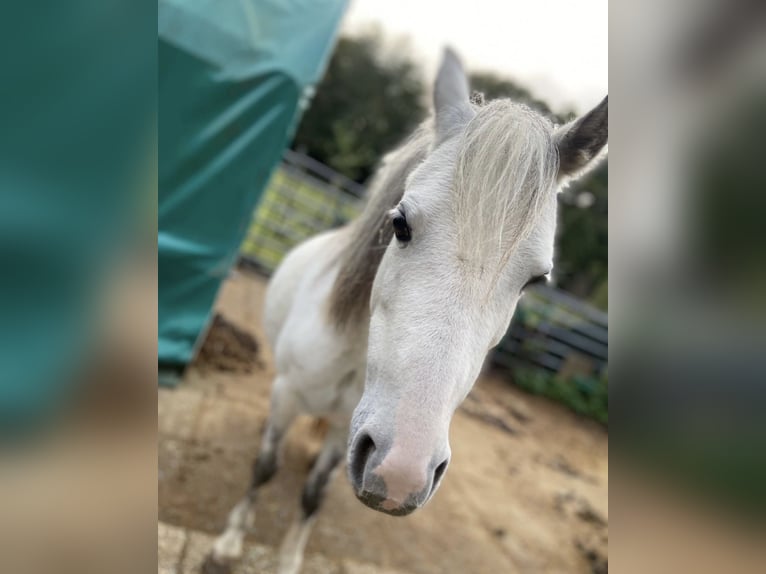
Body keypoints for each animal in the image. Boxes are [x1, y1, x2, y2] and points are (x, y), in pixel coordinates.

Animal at [202, 49, 608, 574]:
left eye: (535, 281)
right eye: (399, 224)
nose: (402, 473)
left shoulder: (348, 431)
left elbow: (314, 495)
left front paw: (288, 558)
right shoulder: (287, 395)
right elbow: (265, 467)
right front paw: (228, 544)